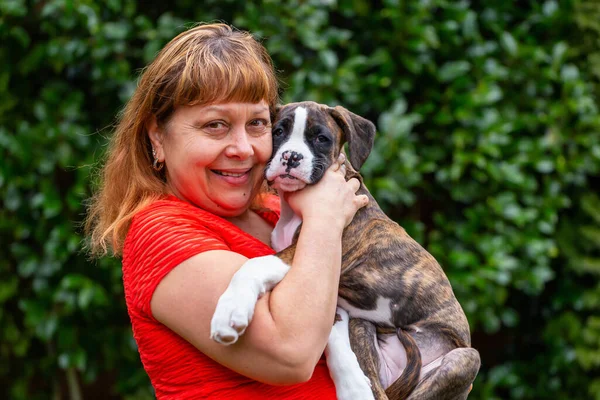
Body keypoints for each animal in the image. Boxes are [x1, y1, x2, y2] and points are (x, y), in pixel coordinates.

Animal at [210, 101, 478, 398]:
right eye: (278, 132)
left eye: (321, 138)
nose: (291, 157)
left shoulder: (305, 254)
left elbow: (255, 265)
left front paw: (229, 313)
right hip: (363, 327)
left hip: (463, 358)